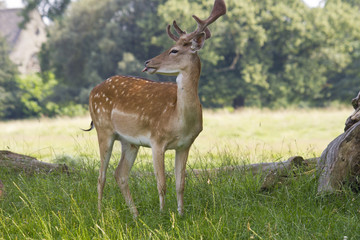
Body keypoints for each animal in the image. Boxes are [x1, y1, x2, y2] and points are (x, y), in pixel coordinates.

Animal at [85, 0, 225, 218]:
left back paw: (135, 215)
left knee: (120, 173)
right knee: (102, 176)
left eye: (174, 50)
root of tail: (93, 91)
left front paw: (181, 215)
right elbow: (162, 184)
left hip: (129, 141)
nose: (147, 62)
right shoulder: (156, 140)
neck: (179, 119)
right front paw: (163, 215)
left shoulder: (185, 145)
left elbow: (180, 184)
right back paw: (100, 213)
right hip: (103, 129)